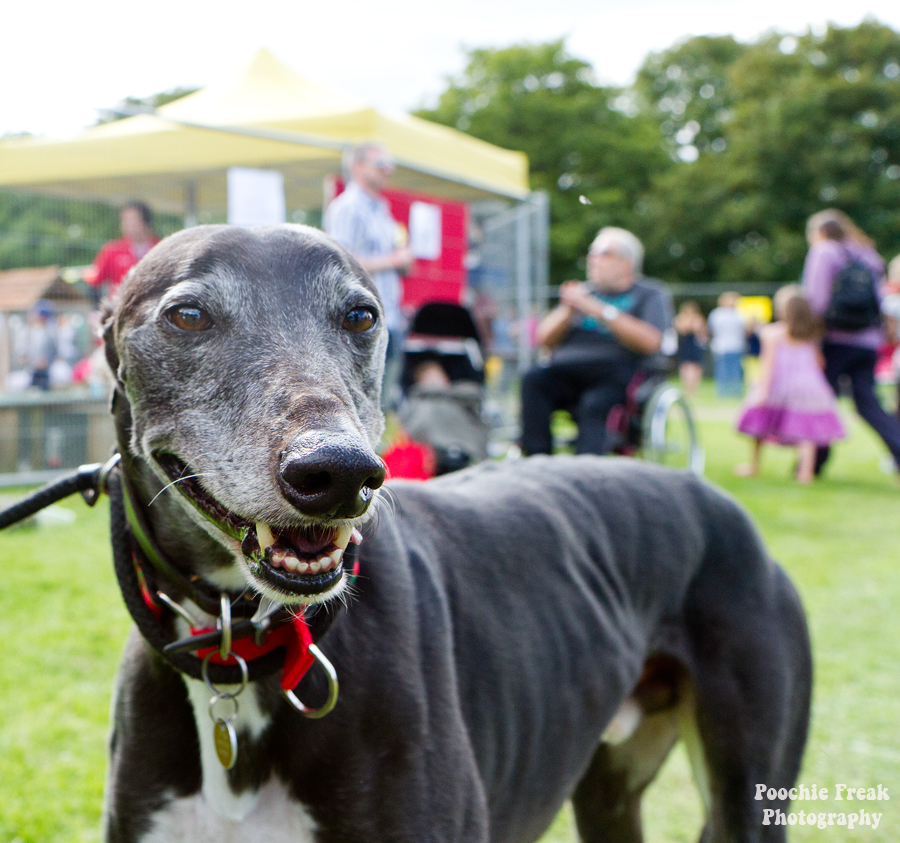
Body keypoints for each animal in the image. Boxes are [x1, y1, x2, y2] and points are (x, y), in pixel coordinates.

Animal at [102, 226, 812, 843]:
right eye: (188, 315)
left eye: (360, 316)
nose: (338, 473)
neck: (242, 657)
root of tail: (713, 497)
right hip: (609, 790)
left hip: (749, 795)